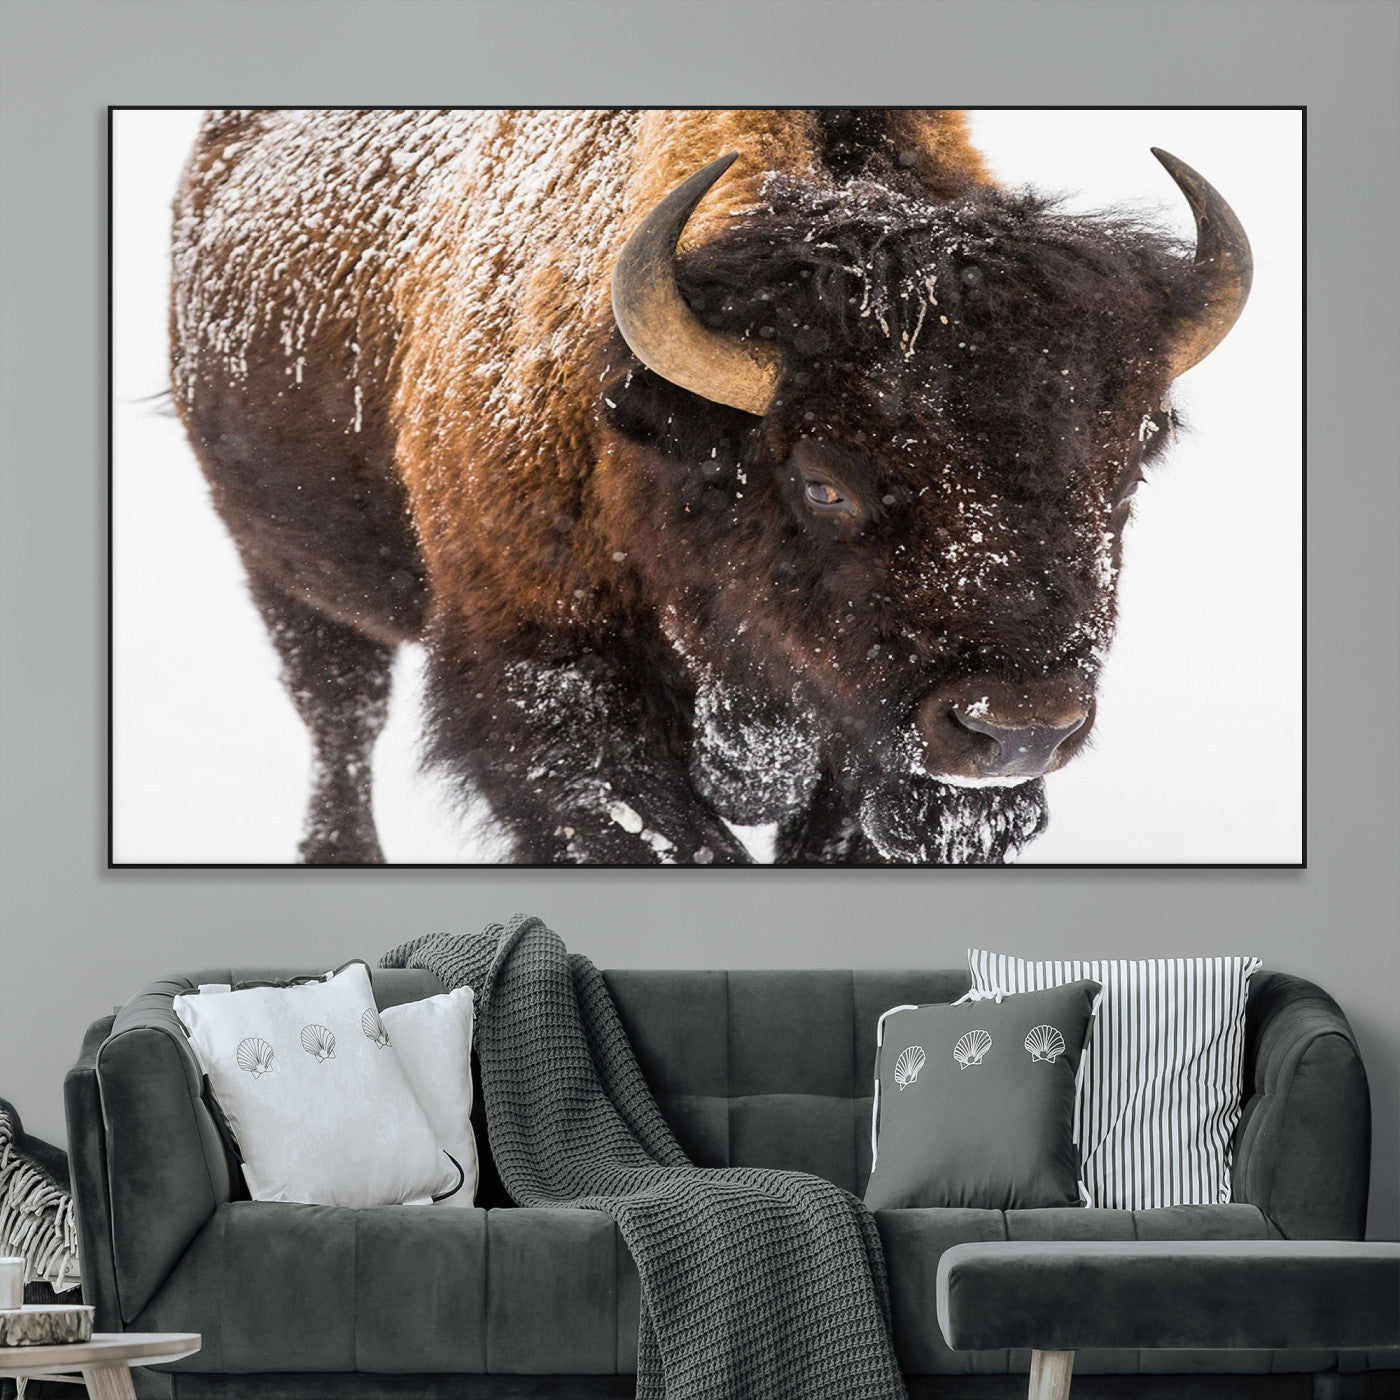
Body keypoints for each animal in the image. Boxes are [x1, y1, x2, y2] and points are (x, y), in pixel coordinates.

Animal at [169, 108, 1250, 865]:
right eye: (822, 482)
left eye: (1129, 462)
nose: (1017, 726)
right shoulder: (548, 684)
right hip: (286, 571)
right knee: (340, 719)